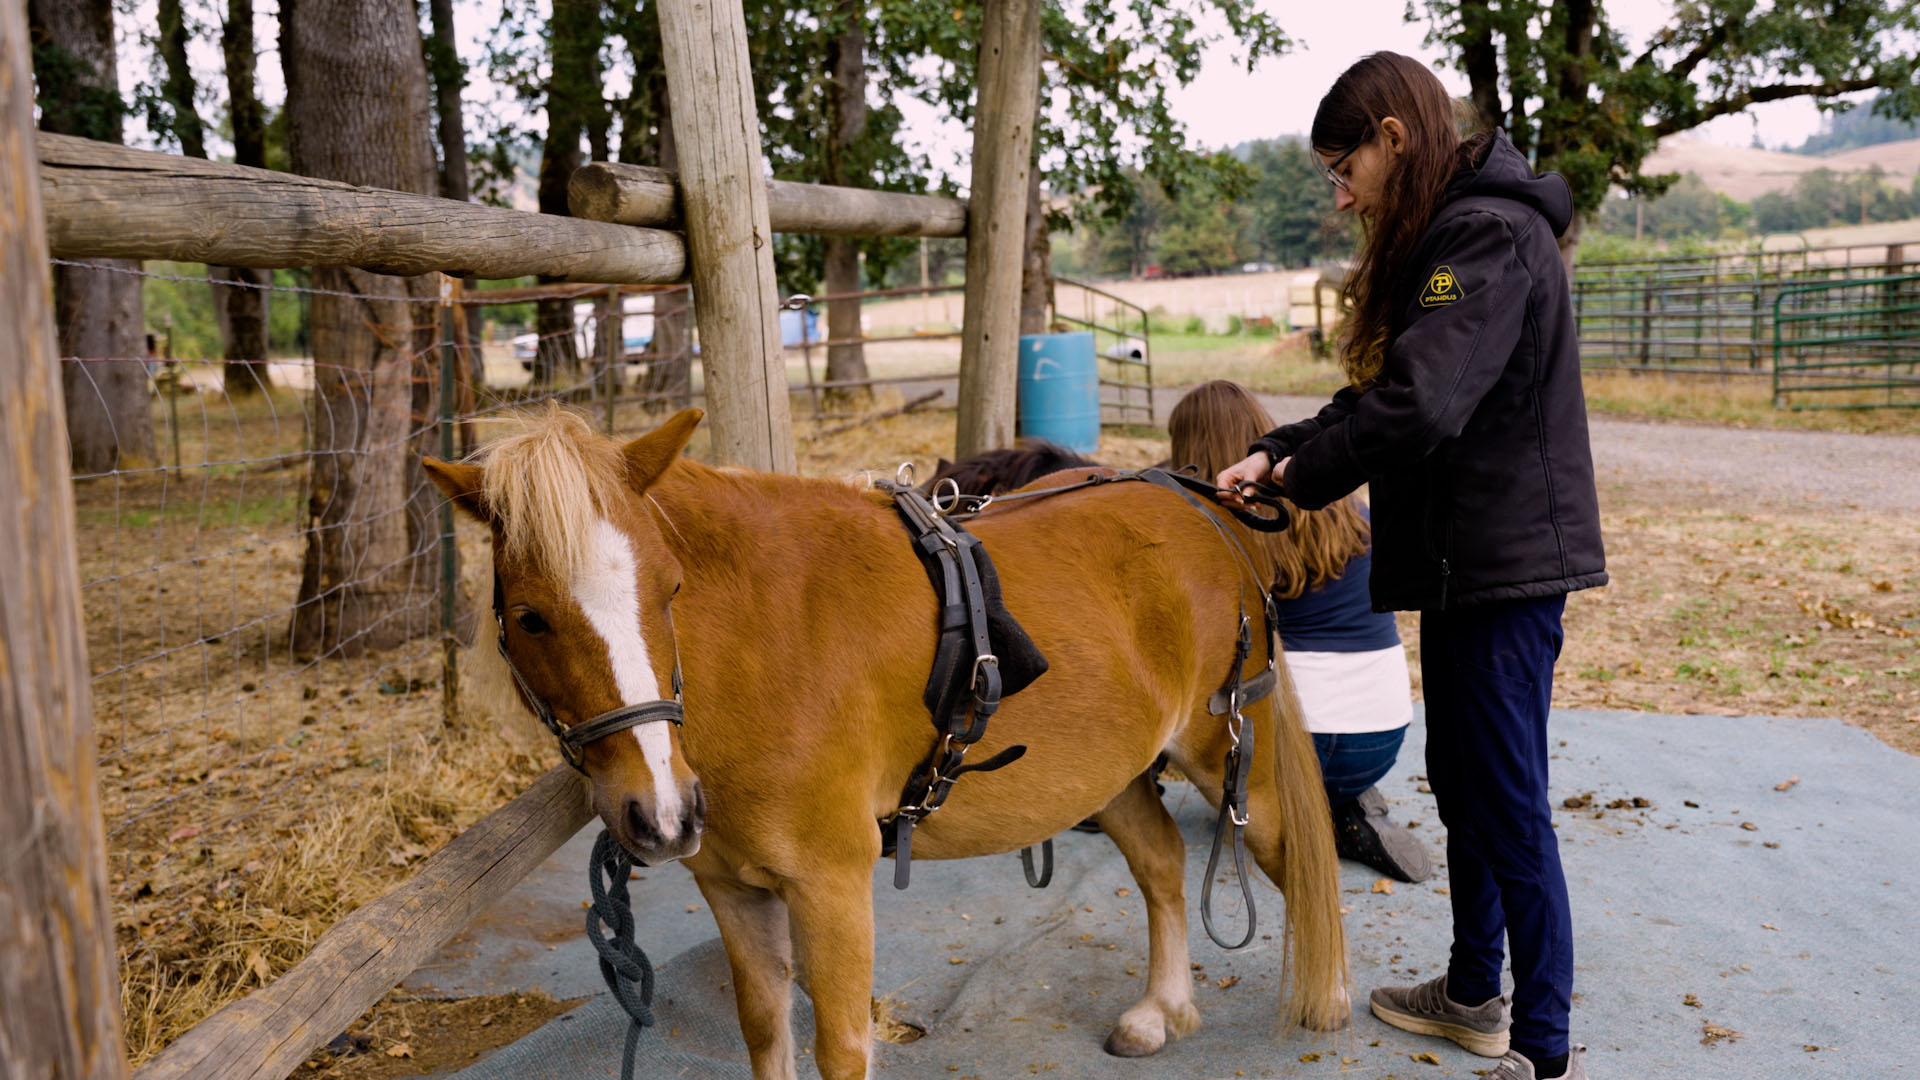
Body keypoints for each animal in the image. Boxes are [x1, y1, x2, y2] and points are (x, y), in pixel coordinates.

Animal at [426, 405, 1344, 1076]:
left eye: (670, 589)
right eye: (529, 617)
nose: (661, 814)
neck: (764, 643)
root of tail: (1198, 501)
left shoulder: (832, 886)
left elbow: (840, 1049)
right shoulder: (732, 889)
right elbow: (765, 1032)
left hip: (1231, 751)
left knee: (1292, 853)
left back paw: (1328, 995)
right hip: (1107, 774)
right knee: (1160, 860)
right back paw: (1162, 1011)